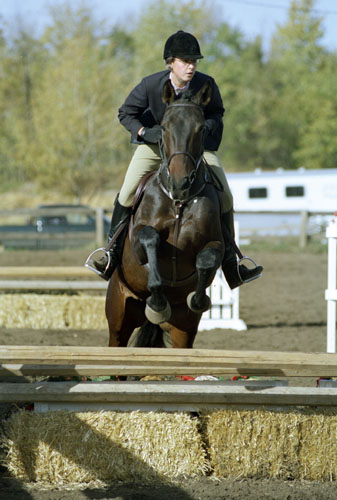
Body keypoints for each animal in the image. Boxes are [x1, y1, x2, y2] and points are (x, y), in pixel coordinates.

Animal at [105, 80, 224, 350]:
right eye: (164, 128)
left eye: (202, 129)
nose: (180, 182)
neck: (178, 201)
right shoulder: (140, 240)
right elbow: (150, 240)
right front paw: (158, 303)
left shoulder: (215, 243)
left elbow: (207, 258)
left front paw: (199, 300)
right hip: (119, 317)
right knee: (116, 339)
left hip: (183, 330)